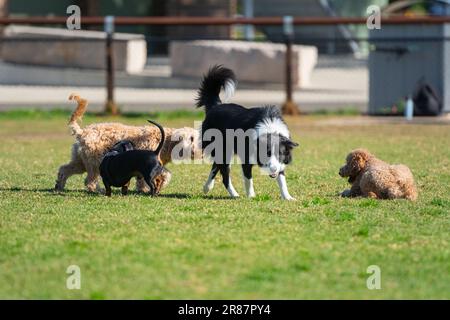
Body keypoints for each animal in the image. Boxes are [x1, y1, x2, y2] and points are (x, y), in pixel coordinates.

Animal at [55, 93, 200, 192]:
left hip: (81, 162)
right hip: (94, 162)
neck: (166, 142)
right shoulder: (147, 164)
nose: (200, 151)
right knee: (90, 180)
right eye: (192, 138)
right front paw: (147, 188)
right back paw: (98, 190)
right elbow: (159, 176)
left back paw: (59, 186)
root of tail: (82, 132)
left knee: (64, 170)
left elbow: (156, 176)